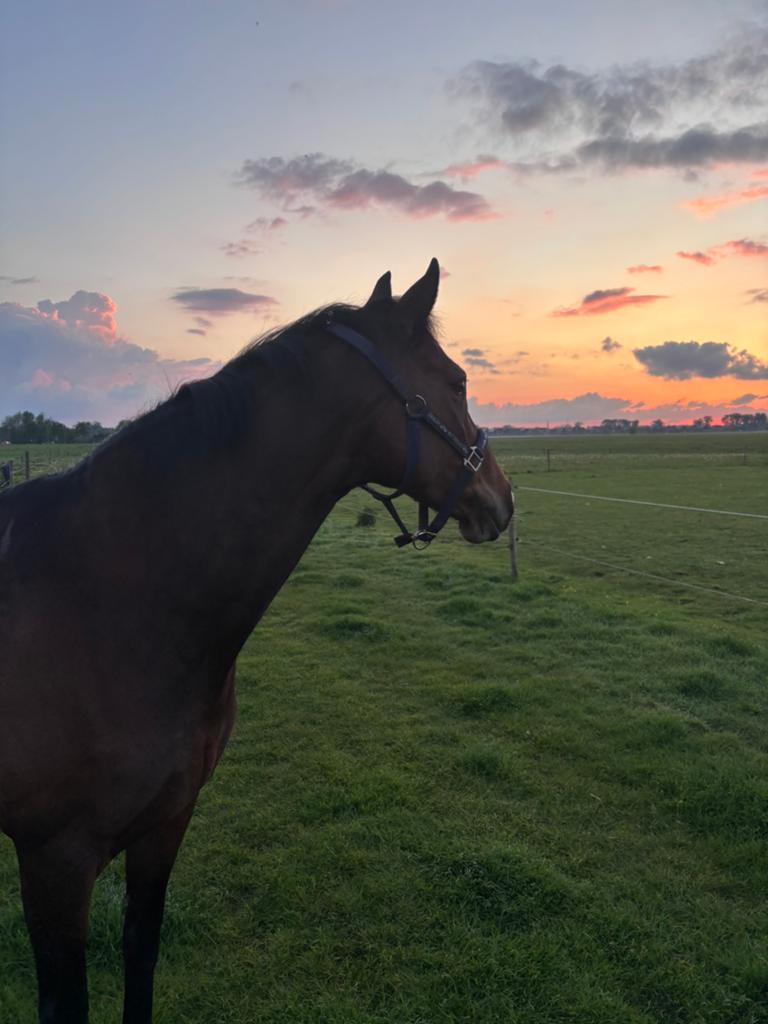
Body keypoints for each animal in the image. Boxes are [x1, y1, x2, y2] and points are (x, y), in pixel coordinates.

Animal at [0, 259, 513, 1022]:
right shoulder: (54, 861)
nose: (502, 500)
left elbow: (141, 954)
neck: (109, 603)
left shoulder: (166, 822)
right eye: (457, 383)